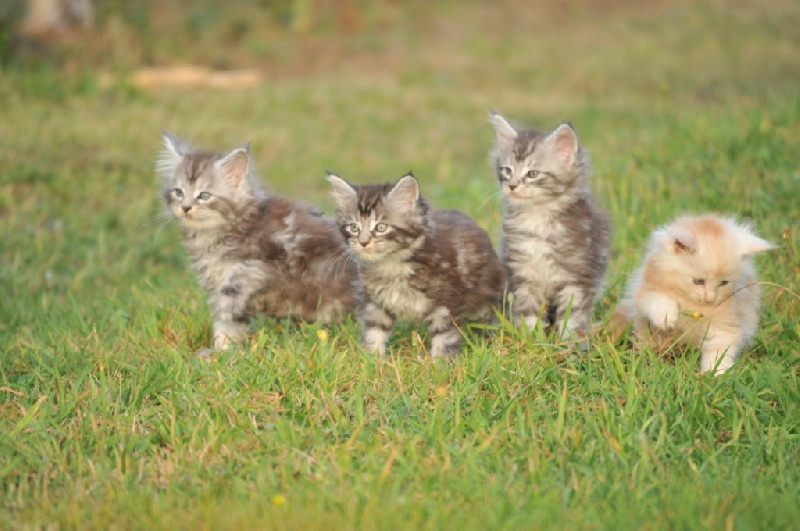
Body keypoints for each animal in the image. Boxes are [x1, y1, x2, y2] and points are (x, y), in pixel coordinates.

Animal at [156, 132, 360, 358]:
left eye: (204, 196)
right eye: (178, 192)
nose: (185, 208)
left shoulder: (264, 264)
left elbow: (228, 307)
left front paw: (220, 353)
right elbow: (230, 325)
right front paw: (221, 353)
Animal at [326, 172, 506, 360]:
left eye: (381, 227)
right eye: (354, 227)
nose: (363, 242)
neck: (392, 266)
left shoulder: (447, 303)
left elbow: (445, 337)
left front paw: (441, 363)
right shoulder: (375, 304)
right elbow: (374, 332)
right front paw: (372, 359)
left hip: (483, 299)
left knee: (485, 322)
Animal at [488, 114, 612, 342]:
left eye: (532, 174)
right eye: (507, 170)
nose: (512, 186)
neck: (538, 219)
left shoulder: (577, 278)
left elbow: (573, 317)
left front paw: (569, 345)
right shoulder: (523, 277)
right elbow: (528, 314)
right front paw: (530, 342)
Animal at [612, 214, 776, 376]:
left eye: (723, 283)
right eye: (698, 281)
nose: (710, 299)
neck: (692, 303)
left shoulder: (728, 318)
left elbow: (719, 349)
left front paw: (716, 374)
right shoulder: (645, 290)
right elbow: (658, 299)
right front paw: (666, 318)